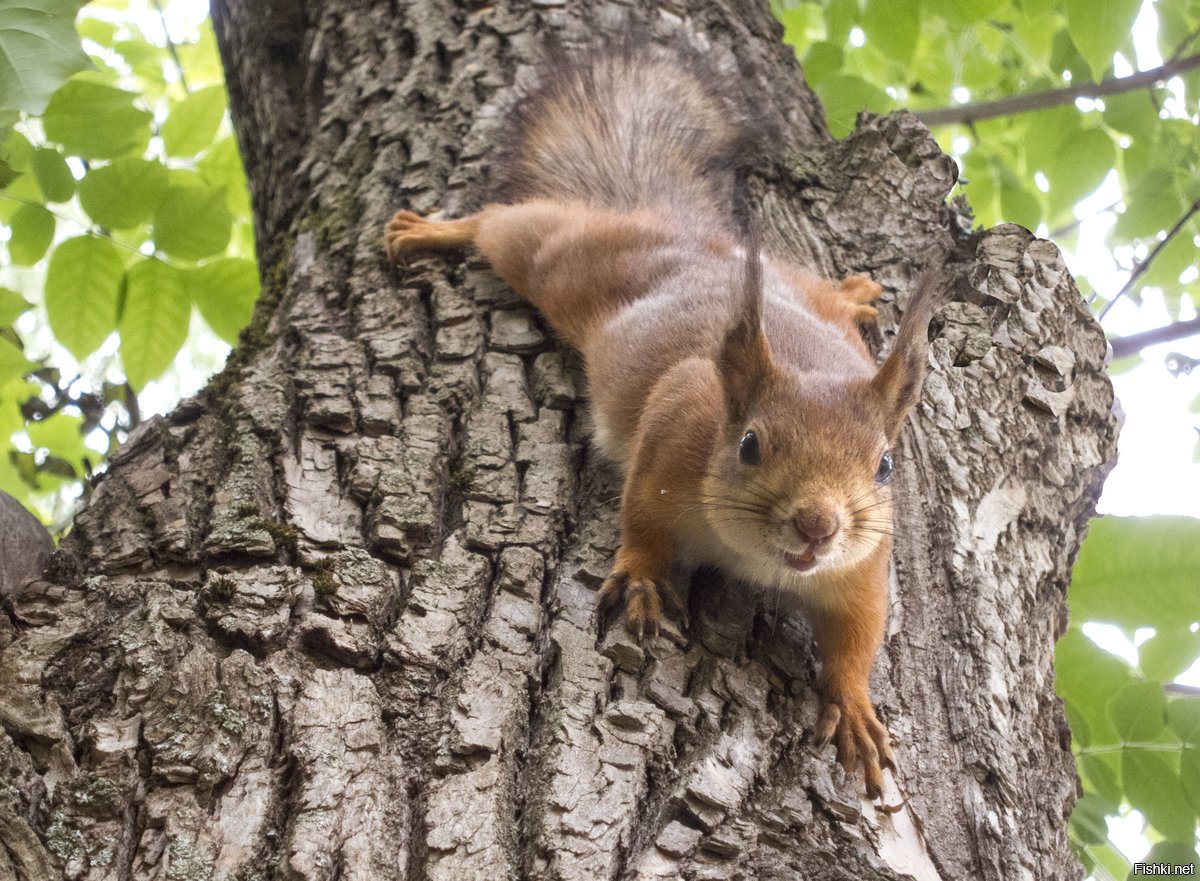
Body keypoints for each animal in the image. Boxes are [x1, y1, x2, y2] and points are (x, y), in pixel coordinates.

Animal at [384, 45, 936, 801]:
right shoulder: (672, 435)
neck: (756, 557)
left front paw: (853, 706)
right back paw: (434, 230)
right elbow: (641, 518)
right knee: (508, 225)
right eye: (749, 444)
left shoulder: (866, 562)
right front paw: (644, 577)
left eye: (885, 464)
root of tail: (684, 235)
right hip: (565, 261)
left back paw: (849, 292)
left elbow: (858, 634)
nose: (817, 525)